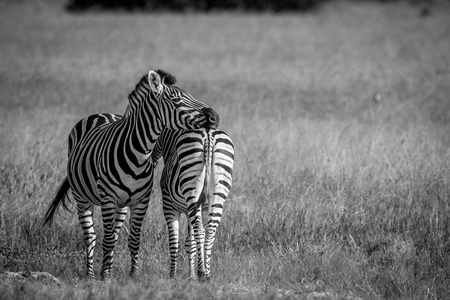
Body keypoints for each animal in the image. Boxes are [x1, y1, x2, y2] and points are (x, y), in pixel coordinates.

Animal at [43, 69, 219, 280]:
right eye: (176, 100)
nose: (215, 116)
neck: (138, 154)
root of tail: (101, 114)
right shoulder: (108, 198)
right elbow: (106, 239)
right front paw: (105, 277)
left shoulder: (140, 201)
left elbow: (133, 238)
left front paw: (132, 274)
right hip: (83, 198)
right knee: (91, 236)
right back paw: (91, 273)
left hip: (122, 205)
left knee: (114, 234)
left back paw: (106, 268)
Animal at [151, 127, 236, 280]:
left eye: (156, 134)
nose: (151, 161)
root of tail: (208, 134)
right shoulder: (193, 209)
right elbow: (190, 243)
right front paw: (191, 276)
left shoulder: (168, 205)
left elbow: (174, 242)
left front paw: (173, 275)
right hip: (218, 190)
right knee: (209, 232)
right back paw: (207, 274)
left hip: (192, 188)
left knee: (199, 232)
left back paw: (202, 272)